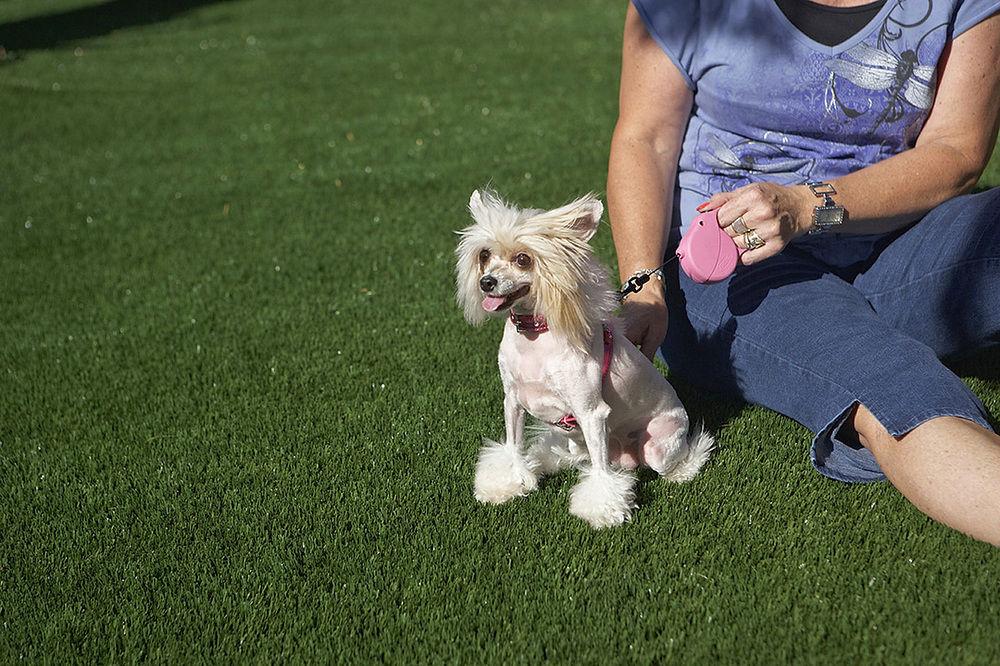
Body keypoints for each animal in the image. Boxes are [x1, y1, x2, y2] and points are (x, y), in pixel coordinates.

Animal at [454, 189, 712, 528]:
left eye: (523, 259)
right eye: (484, 255)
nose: (487, 282)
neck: (534, 334)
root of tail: (626, 453)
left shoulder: (591, 413)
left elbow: (601, 474)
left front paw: (603, 509)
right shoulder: (513, 400)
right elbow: (512, 447)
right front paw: (506, 484)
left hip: (657, 446)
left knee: (664, 461)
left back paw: (686, 465)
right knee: (577, 454)